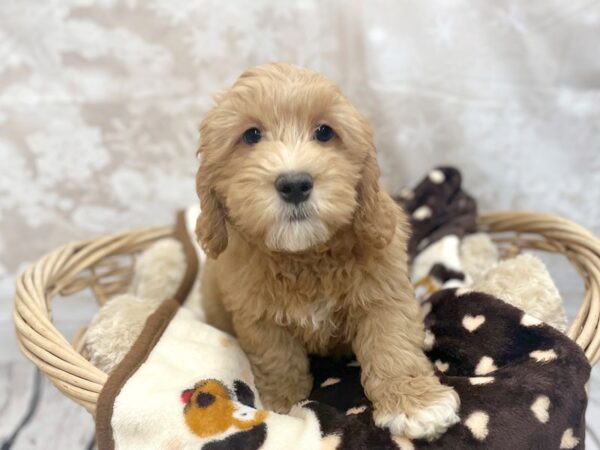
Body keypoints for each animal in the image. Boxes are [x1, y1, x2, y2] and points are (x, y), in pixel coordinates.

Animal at [197, 63, 460, 440]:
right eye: (251, 135)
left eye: (324, 132)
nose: (294, 184)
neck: (305, 255)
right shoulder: (255, 313)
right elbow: (277, 356)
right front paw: (284, 406)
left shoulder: (384, 293)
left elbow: (393, 345)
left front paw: (416, 404)